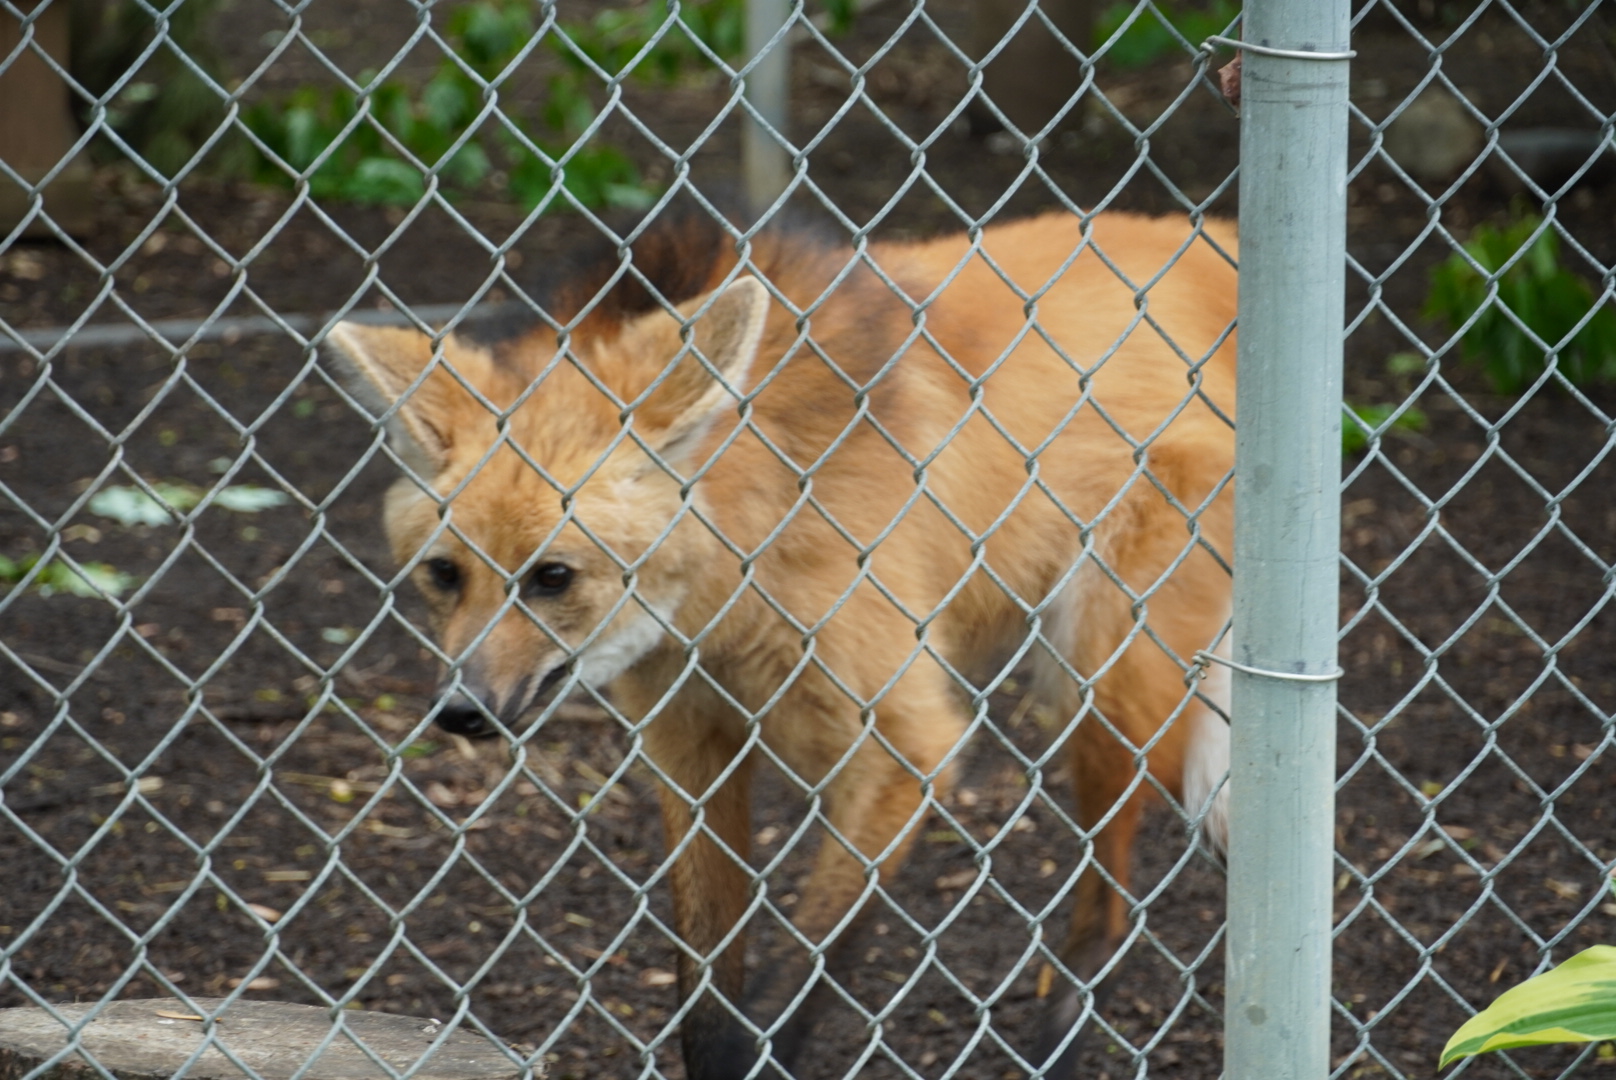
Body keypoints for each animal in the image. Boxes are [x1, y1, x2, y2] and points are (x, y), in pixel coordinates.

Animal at [326, 208, 1238, 1080]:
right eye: (445, 574)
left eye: (552, 577)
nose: (460, 712)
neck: (729, 587)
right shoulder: (691, 743)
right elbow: (706, 997)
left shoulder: (904, 747)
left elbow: (789, 989)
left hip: (1104, 679)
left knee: (1105, 917)